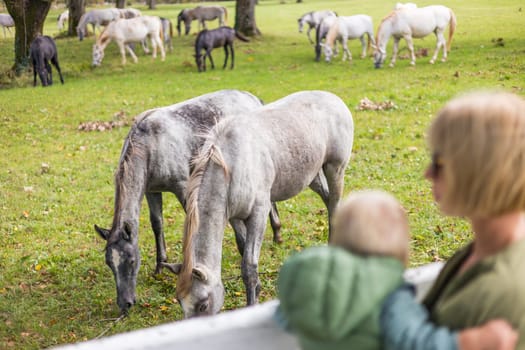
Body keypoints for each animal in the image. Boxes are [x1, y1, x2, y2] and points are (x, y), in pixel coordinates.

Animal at [94, 89, 282, 314]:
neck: (150, 145)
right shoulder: (151, 191)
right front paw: (160, 266)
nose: (125, 303)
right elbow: (157, 223)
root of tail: (252, 98)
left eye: (131, 261)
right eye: (109, 263)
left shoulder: (183, 186)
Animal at [162, 90, 354, 318]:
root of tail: (335, 99)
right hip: (312, 175)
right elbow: (243, 247)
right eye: (180, 303)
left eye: (203, 304)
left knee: (334, 207)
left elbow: (249, 266)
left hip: (335, 169)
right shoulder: (233, 216)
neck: (230, 165)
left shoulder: (258, 214)